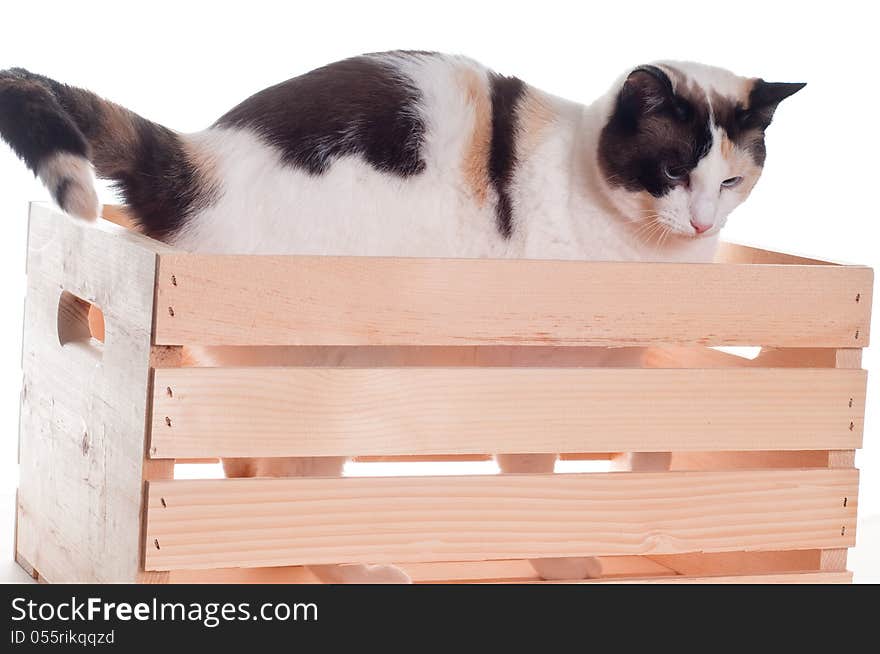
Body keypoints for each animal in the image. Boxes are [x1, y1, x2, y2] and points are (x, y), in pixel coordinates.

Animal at [0, 51, 804, 584]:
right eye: (671, 170)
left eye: (732, 180)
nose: (701, 224)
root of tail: (201, 161)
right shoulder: (537, 377)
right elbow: (536, 481)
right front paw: (563, 556)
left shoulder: (636, 376)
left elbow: (644, 460)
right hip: (337, 377)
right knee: (287, 484)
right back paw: (352, 569)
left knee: (245, 467)